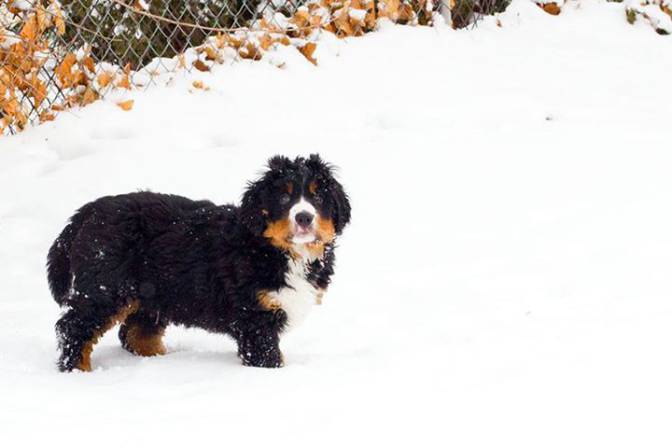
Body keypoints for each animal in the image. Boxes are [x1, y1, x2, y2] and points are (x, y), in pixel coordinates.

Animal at [46, 154, 352, 372]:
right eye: (285, 196)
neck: (277, 250)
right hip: (106, 288)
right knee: (74, 328)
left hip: (151, 294)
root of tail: (88, 211)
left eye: (318, 195)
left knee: (134, 333)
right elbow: (269, 357)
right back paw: (79, 371)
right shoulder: (255, 319)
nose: (304, 217)